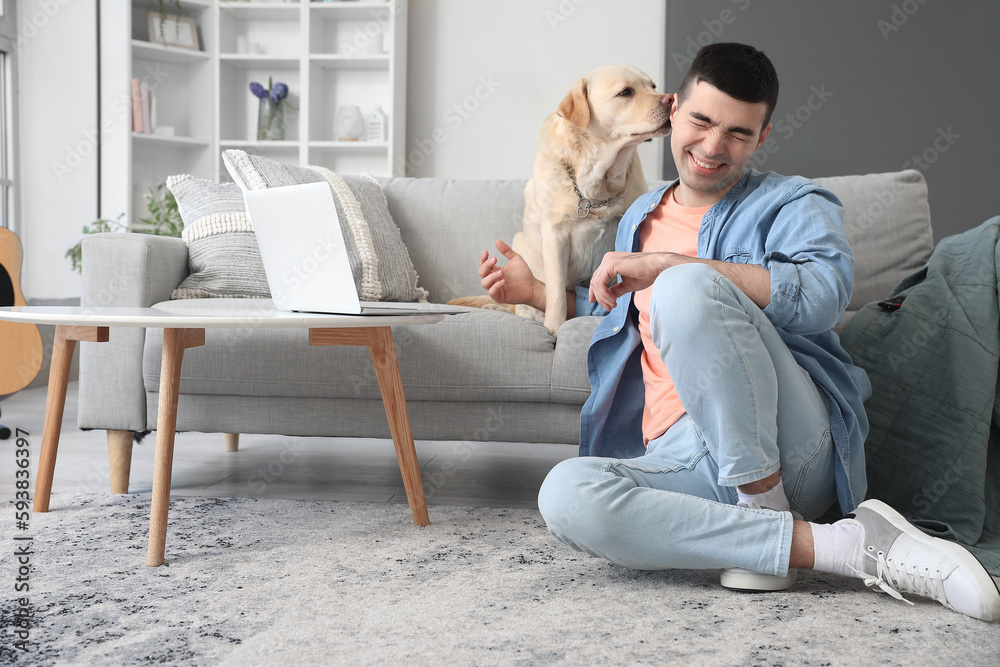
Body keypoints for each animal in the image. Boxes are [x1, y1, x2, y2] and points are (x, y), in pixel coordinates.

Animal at [454, 68, 672, 334]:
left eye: (654, 86)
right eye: (625, 92)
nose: (671, 99)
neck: (597, 181)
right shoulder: (555, 234)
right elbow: (556, 290)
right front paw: (555, 328)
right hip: (521, 244)